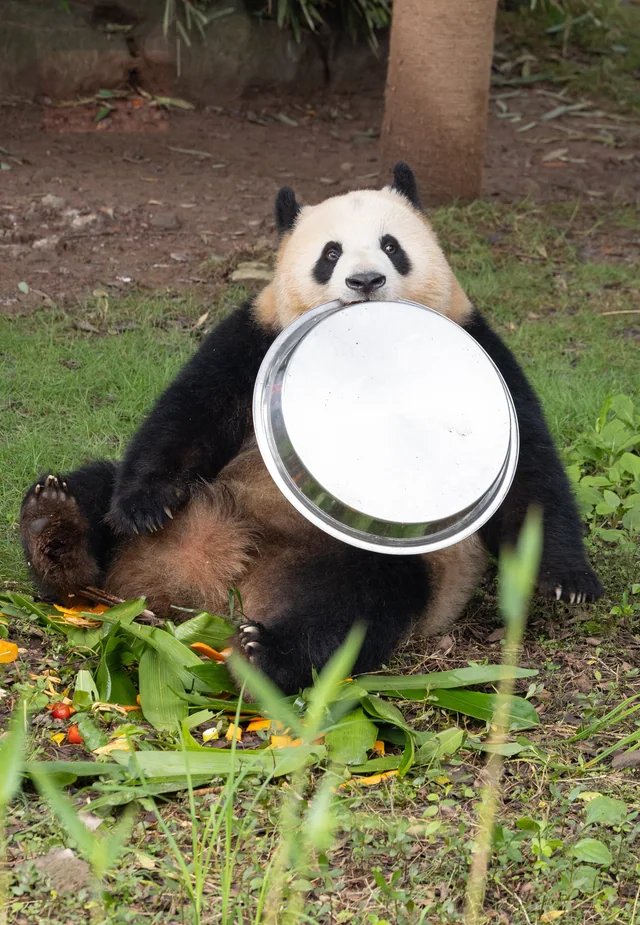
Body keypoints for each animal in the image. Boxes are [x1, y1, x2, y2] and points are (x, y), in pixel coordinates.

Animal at [20, 163, 603, 694]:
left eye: (391, 246)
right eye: (331, 253)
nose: (365, 282)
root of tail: (210, 580)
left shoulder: (482, 346)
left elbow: (530, 477)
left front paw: (568, 582)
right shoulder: (258, 332)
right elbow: (190, 411)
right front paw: (143, 505)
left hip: (372, 558)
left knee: (353, 609)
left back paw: (266, 653)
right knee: (97, 484)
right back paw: (54, 529)